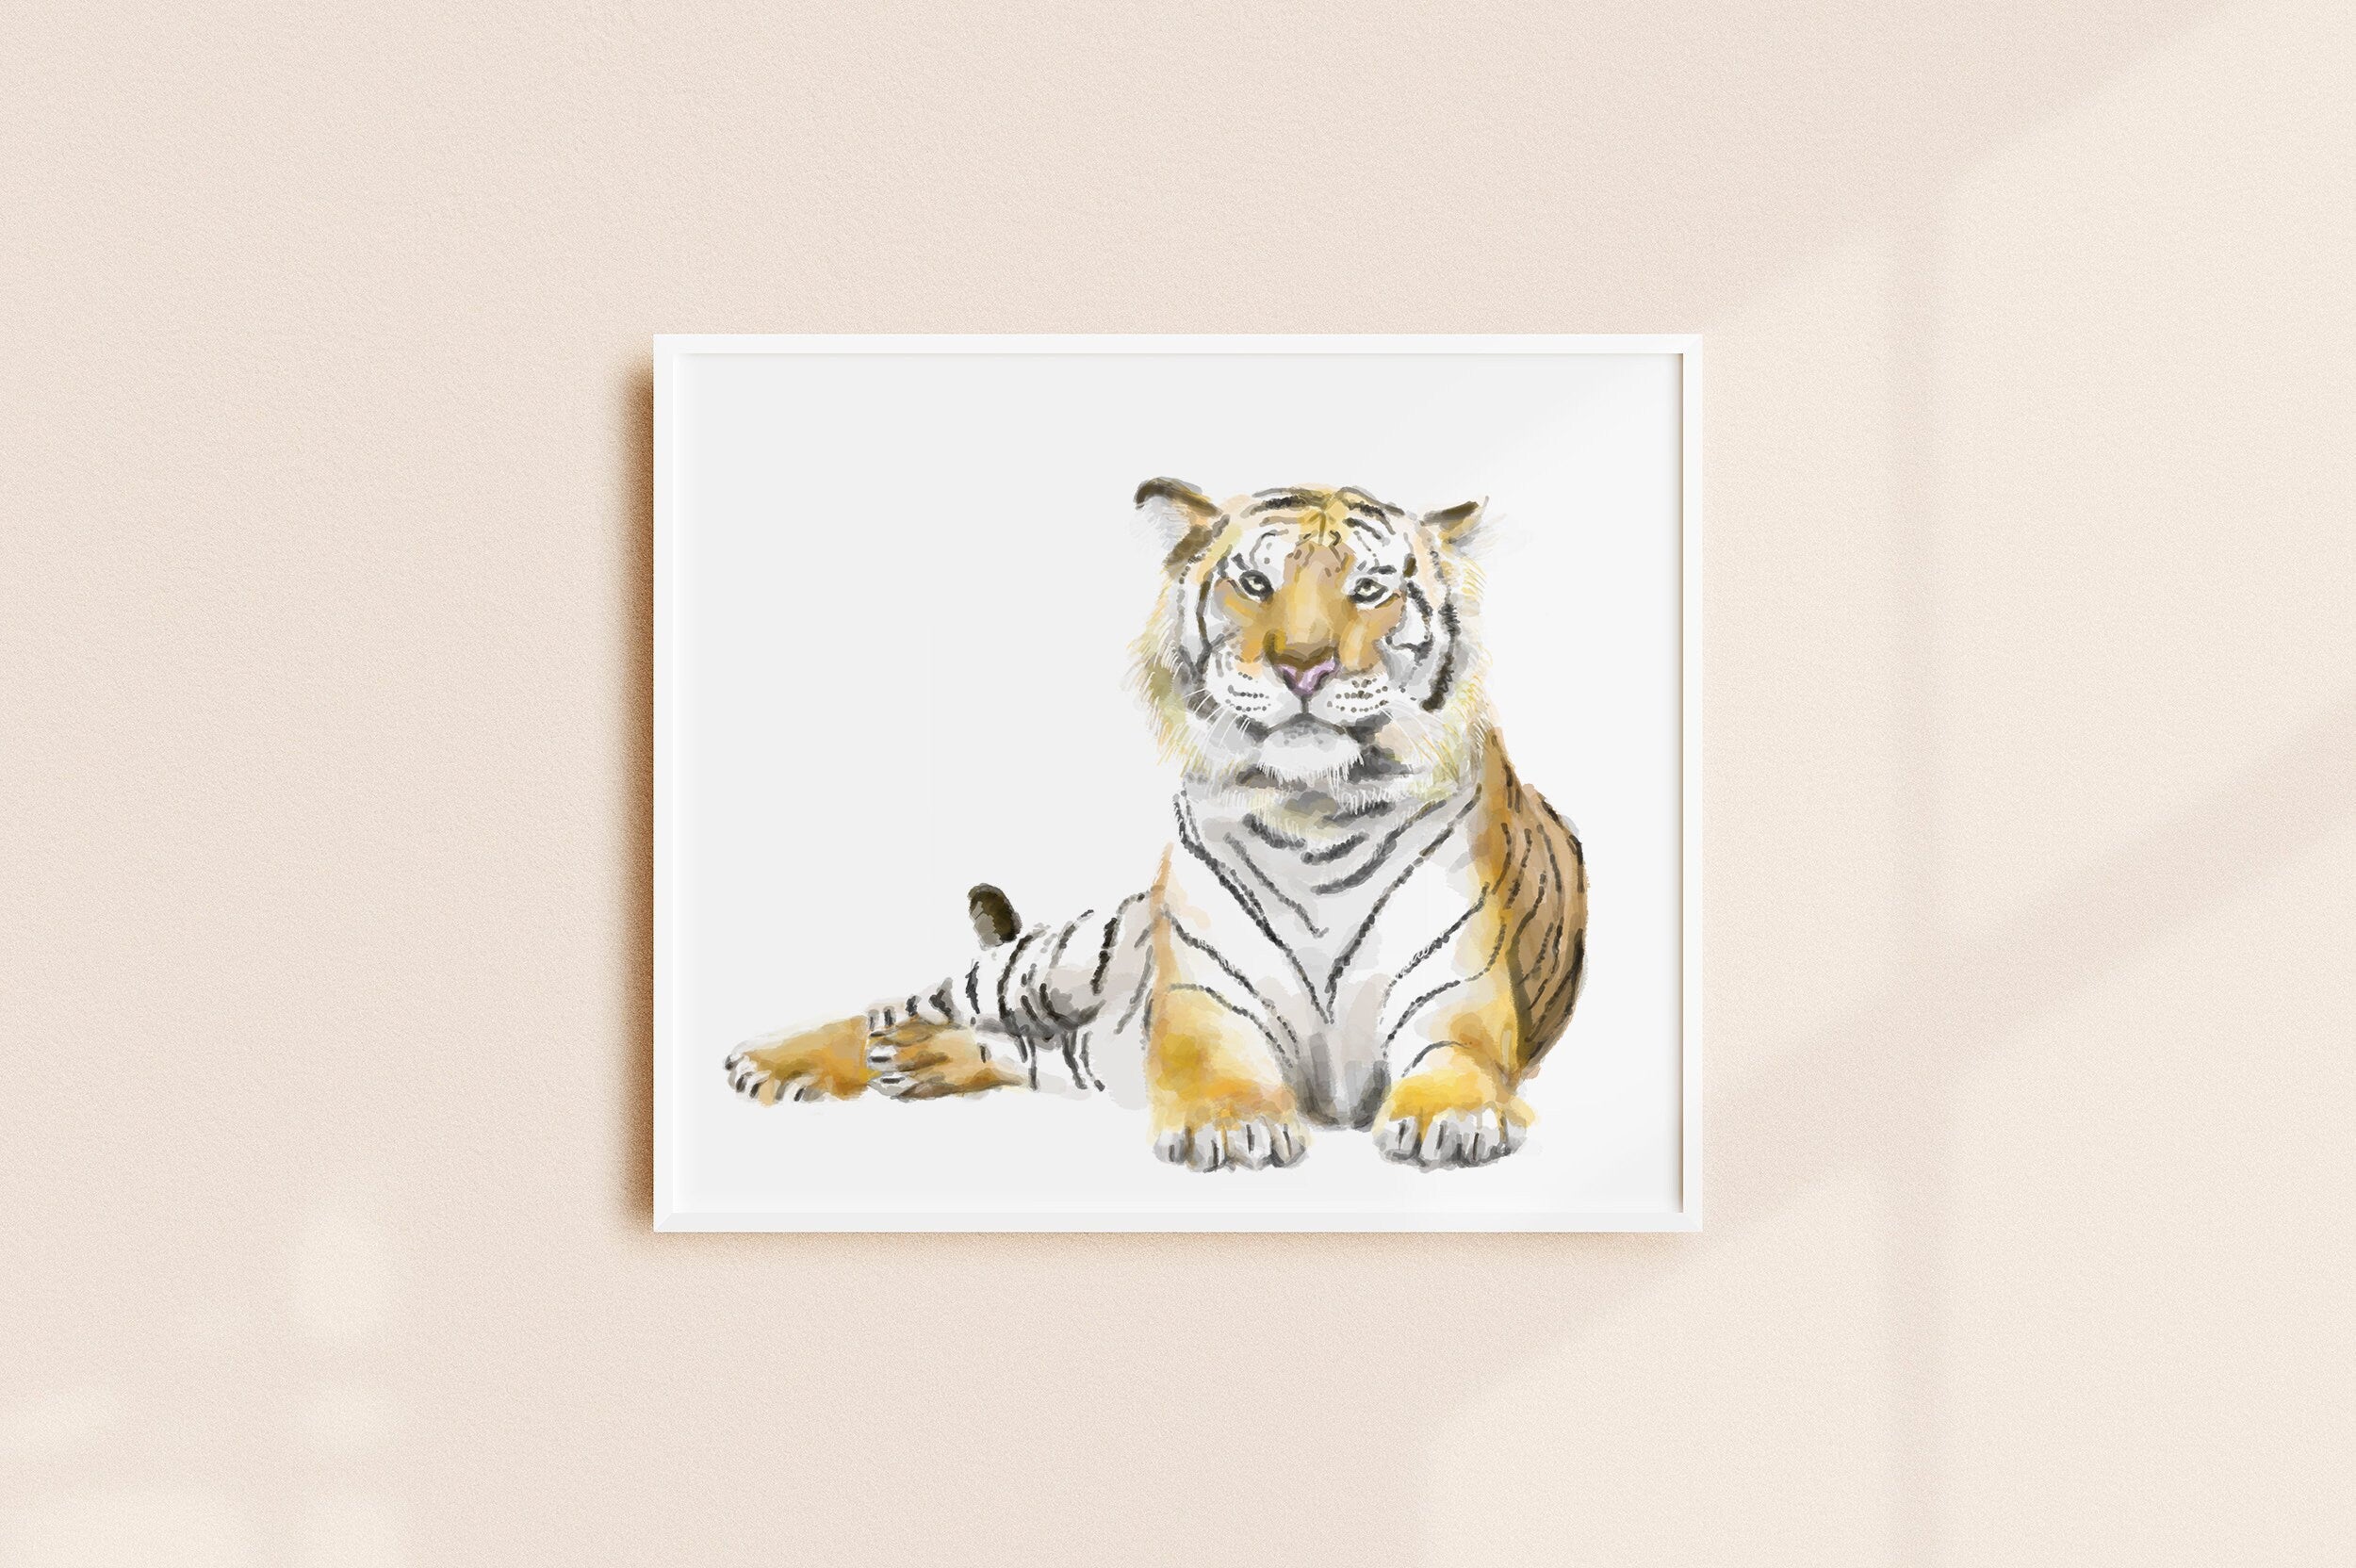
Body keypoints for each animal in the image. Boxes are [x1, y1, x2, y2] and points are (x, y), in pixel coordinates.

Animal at [723, 479, 1587, 1171]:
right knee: (905, 1005)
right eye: (1253, 582)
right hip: (1060, 957)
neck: (1310, 815)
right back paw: (777, 1061)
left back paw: (923, 1063)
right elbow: (1215, 1068)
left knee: (1027, 1050)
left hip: (1078, 1044)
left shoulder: (1454, 998)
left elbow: (1459, 1063)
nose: (1303, 665)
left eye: (1372, 589)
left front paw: (1453, 1119)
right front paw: (1231, 1128)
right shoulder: (1205, 999)